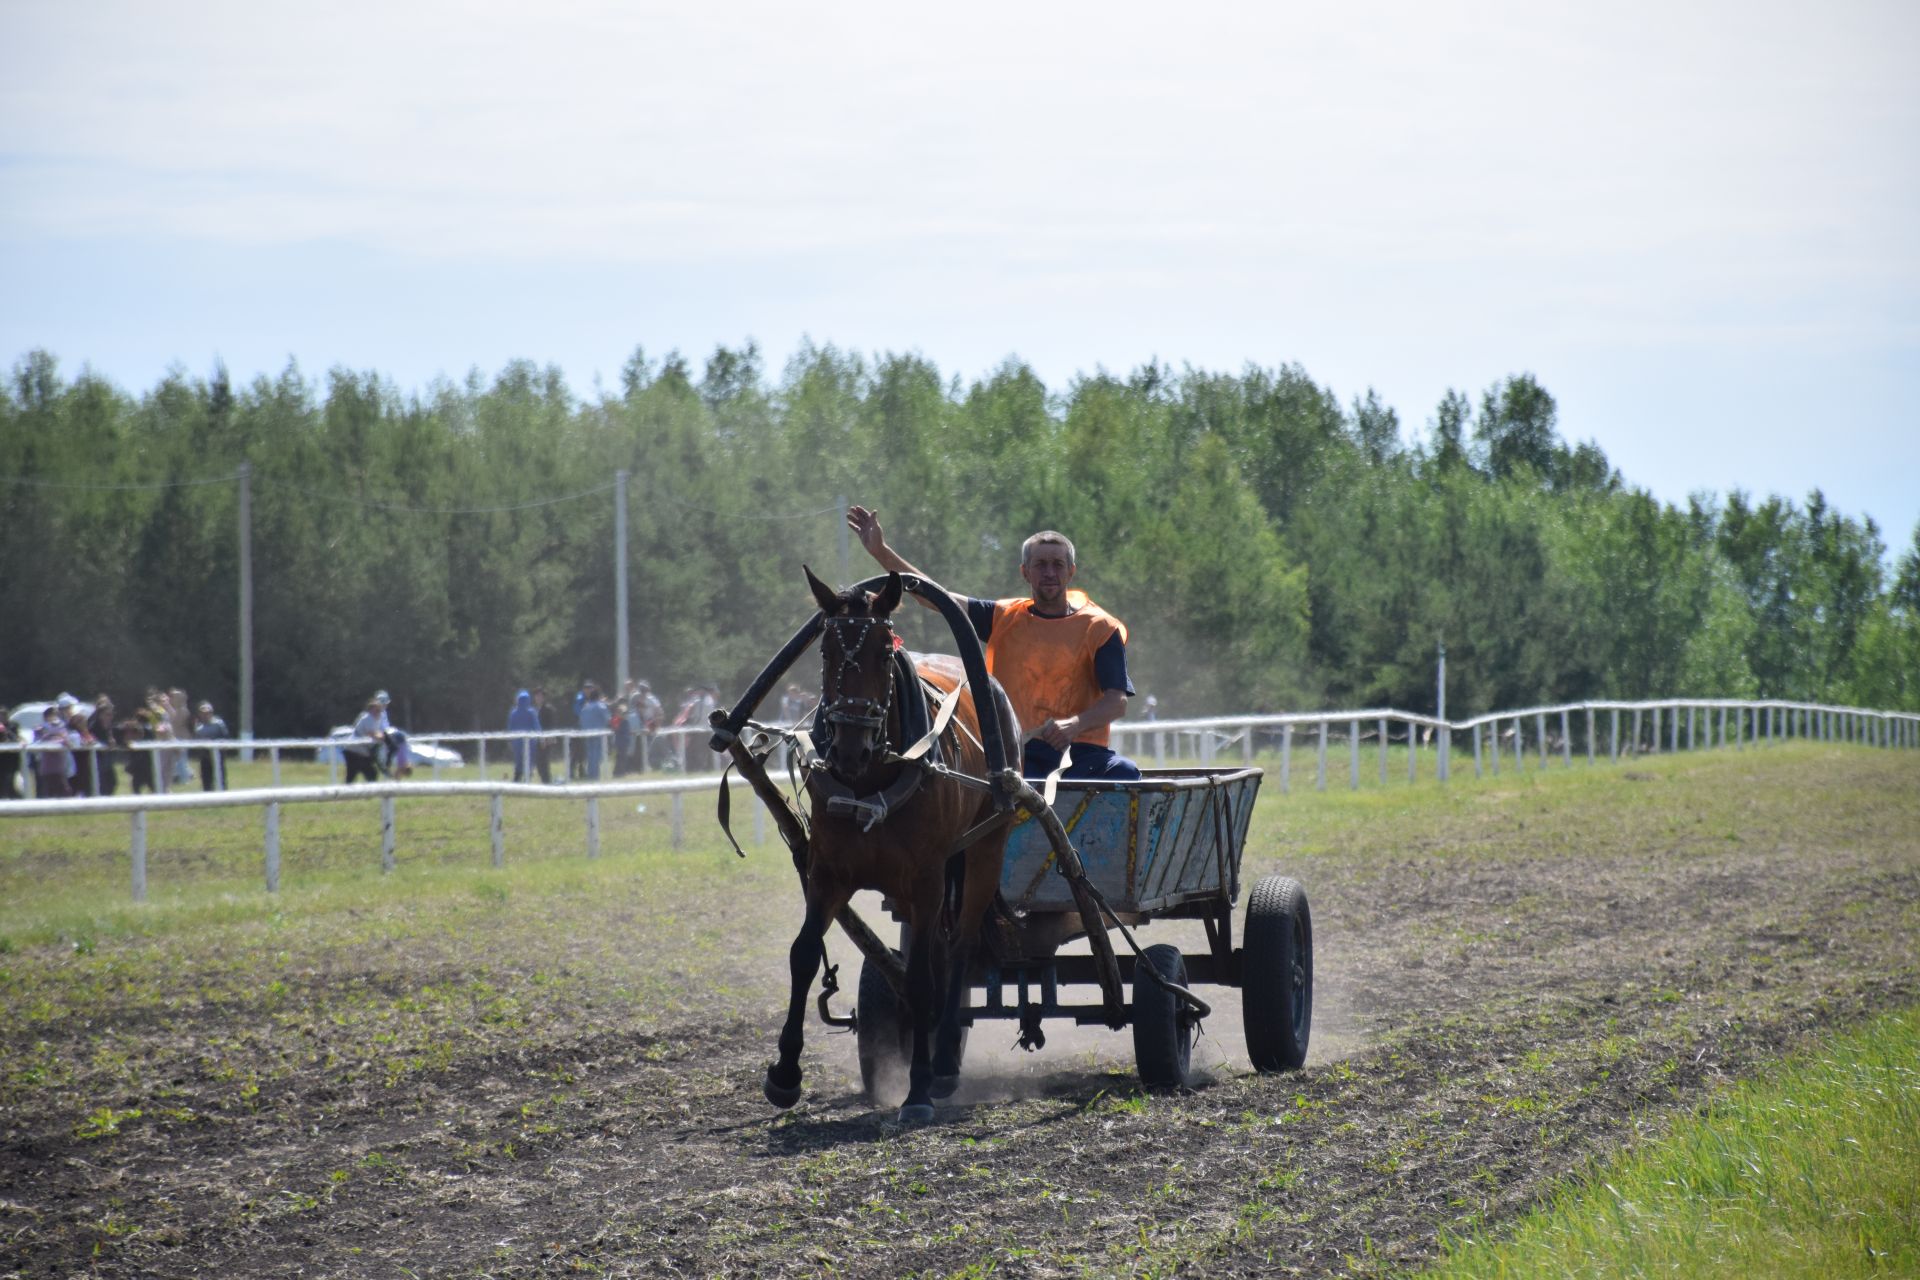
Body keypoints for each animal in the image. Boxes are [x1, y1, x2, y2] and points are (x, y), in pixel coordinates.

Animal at [760, 568, 1021, 1120]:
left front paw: (918, 1089)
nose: (849, 748)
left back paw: (944, 1061)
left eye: (884, 652)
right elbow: (804, 954)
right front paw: (785, 1073)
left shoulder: (925, 881)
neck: (872, 779)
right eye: (825, 651)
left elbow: (922, 978)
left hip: (986, 847)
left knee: (959, 947)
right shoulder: (828, 872)